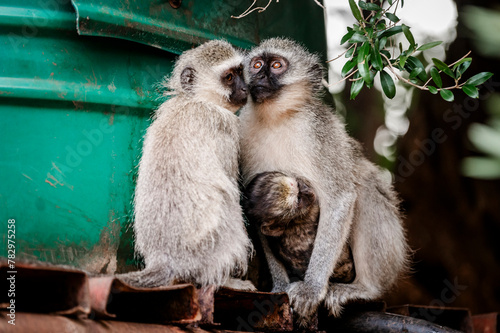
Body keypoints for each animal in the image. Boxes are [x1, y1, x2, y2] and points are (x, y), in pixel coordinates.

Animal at [122, 39, 254, 290]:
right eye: (229, 77)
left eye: (241, 72)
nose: (246, 89)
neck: (195, 100)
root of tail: (166, 259)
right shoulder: (225, 127)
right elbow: (232, 192)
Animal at [239, 37, 410, 320]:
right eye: (256, 65)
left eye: (276, 65)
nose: (259, 77)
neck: (277, 118)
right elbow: (257, 213)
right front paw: (280, 286)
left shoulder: (319, 131)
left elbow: (341, 198)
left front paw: (312, 288)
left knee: (365, 191)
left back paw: (366, 288)